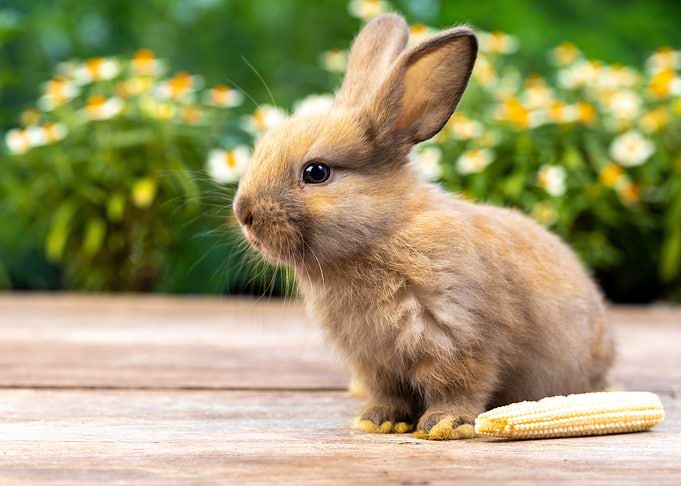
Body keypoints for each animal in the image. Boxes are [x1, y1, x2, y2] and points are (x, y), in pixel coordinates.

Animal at [232, 13, 614, 439]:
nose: (243, 213)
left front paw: (443, 426)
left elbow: (458, 387)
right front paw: (378, 421)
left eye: (316, 172)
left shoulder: (458, 337)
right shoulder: (373, 360)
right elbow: (388, 393)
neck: (383, 233)